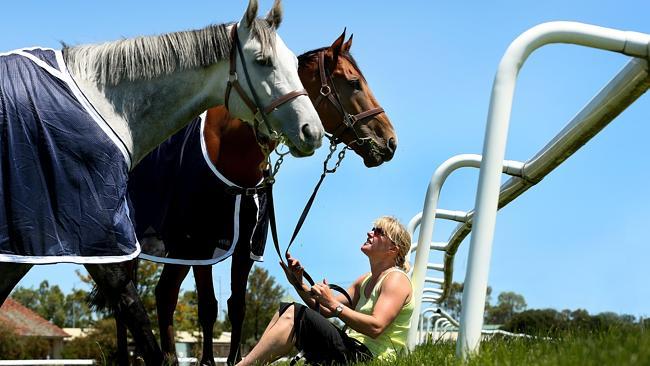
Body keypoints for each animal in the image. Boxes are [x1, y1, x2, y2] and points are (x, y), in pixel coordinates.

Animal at [130, 30, 394, 364]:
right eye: (353, 82)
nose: (390, 141)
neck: (228, 146)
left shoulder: (243, 244)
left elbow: (237, 305)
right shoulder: (203, 244)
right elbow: (208, 307)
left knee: (161, 294)